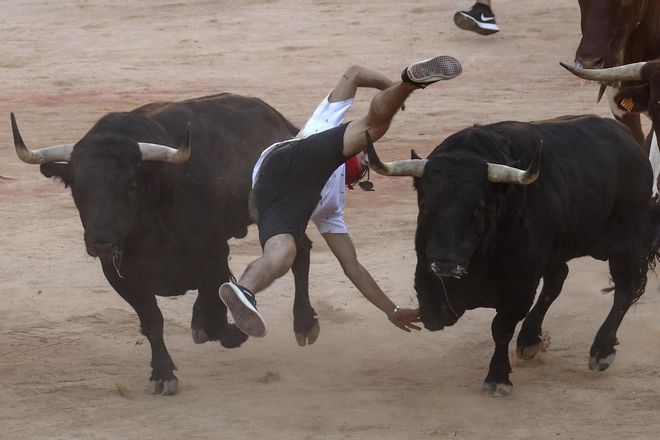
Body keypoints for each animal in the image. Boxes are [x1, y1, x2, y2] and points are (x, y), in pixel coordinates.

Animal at [10, 93, 320, 396]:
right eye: (78, 188)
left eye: (131, 185)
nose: (101, 243)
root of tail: (280, 122)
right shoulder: (119, 274)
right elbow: (152, 321)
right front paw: (162, 373)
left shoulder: (213, 257)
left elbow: (217, 319)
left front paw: (236, 331)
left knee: (300, 251)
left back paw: (305, 324)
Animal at [368, 115, 660, 398]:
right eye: (426, 205)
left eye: (480, 207)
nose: (446, 265)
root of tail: (629, 140)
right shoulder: (427, 275)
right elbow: (434, 309)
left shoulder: (520, 285)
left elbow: (501, 328)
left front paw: (497, 377)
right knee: (558, 280)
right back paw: (529, 339)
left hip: (627, 240)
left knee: (625, 288)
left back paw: (601, 350)